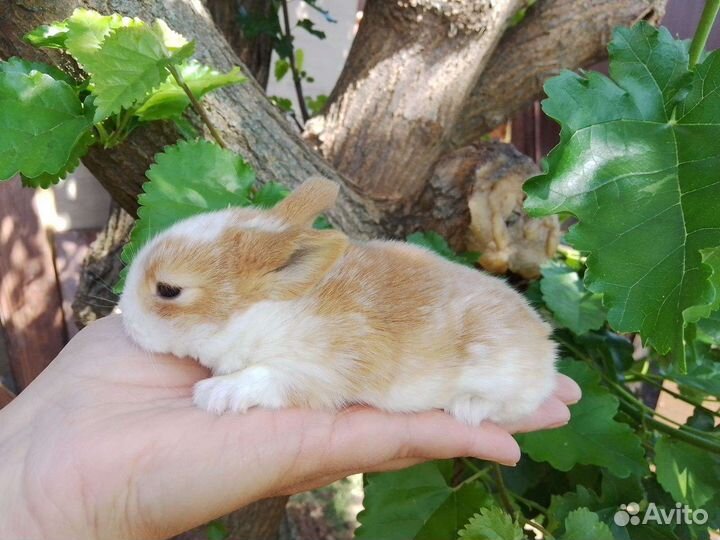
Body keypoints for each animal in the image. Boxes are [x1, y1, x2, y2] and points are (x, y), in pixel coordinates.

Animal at [119, 177, 557, 426]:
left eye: (168, 289)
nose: (127, 322)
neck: (270, 312)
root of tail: (546, 347)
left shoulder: (319, 369)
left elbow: (267, 376)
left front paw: (216, 394)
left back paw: (466, 408)